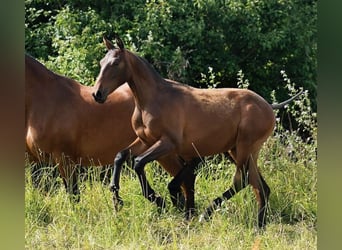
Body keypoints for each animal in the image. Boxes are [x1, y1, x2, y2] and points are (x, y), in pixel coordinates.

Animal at [93, 36, 302, 229]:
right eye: (102, 63)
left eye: (116, 63)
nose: (97, 94)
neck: (153, 100)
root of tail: (269, 106)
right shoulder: (145, 140)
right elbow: (120, 156)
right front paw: (117, 199)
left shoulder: (168, 143)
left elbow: (138, 163)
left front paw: (159, 200)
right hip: (237, 150)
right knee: (260, 186)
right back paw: (259, 226)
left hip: (245, 147)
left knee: (241, 180)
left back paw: (207, 213)